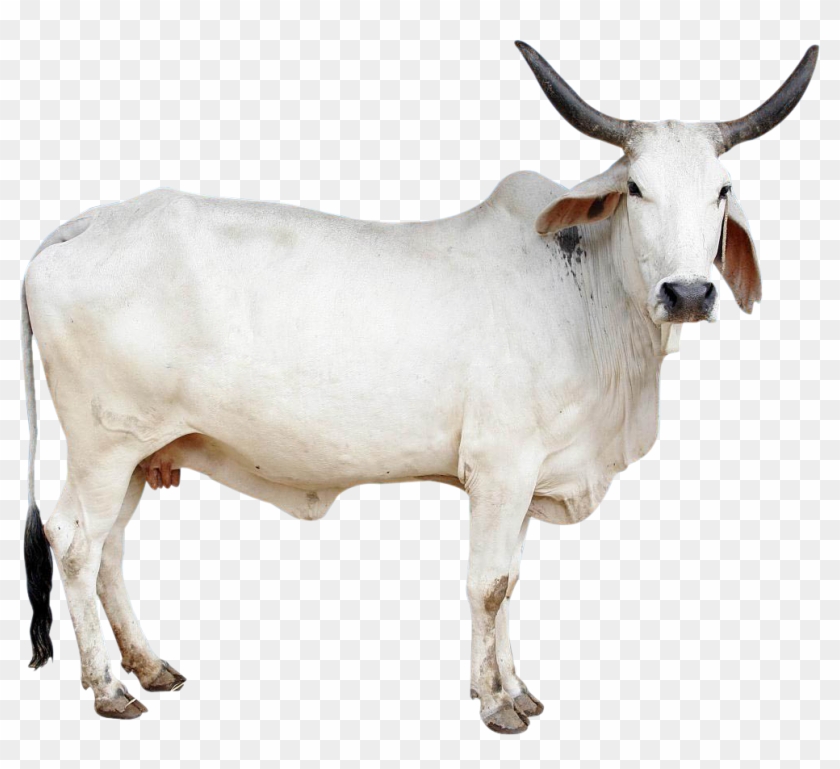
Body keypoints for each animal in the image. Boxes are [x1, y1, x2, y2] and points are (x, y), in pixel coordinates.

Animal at [21, 41, 818, 733]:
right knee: (74, 542)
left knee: (110, 550)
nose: (688, 292)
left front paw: (514, 686)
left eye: (722, 190)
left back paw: (148, 665)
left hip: (138, 454)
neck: (587, 295)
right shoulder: (501, 467)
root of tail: (85, 223)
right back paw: (108, 687)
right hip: (102, 447)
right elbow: (489, 583)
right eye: (636, 187)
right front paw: (496, 703)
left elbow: (510, 582)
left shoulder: (525, 481)